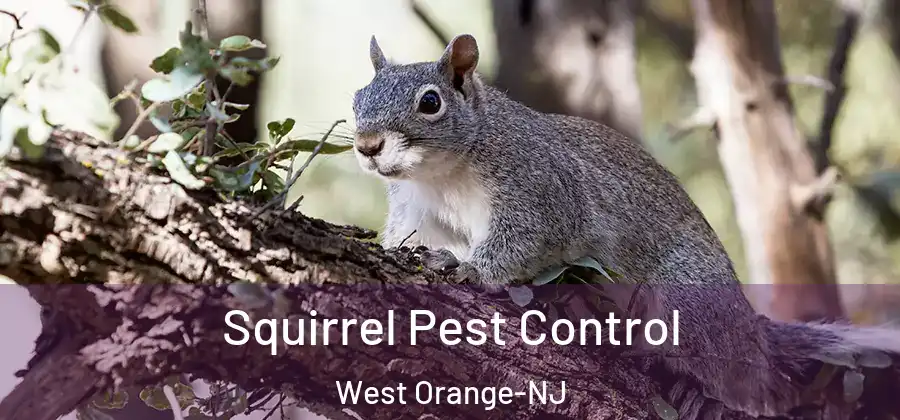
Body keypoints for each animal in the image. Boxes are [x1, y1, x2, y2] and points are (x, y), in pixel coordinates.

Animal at [351, 34, 900, 418]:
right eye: (358, 97)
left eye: (430, 102)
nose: (366, 145)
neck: (442, 173)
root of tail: (750, 333)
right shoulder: (418, 211)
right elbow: (411, 237)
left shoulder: (543, 191)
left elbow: (525, 240)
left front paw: (470, 269)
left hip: (688, 300)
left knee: (741, 381)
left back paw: (702, 392)